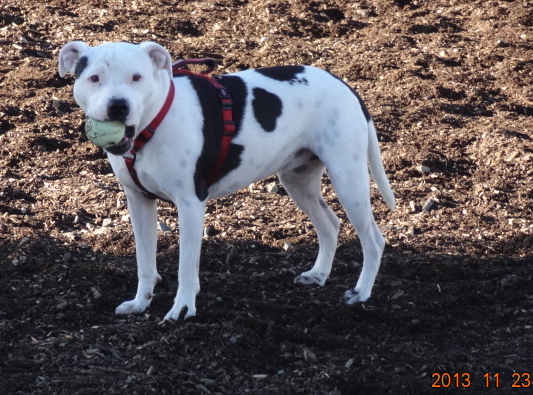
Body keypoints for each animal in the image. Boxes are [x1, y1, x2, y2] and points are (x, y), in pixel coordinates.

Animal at [59, 40, 394, 320]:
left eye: (136, 78)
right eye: (94, 78)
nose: (118, 105)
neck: (152, 125)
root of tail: (344, 86)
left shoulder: (191, 206)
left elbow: (186, 268)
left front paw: (183, 309)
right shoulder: (139, 203)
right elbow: (144, 263)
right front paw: (141, 302)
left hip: (348, 178)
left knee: (373, 239)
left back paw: (361, 292)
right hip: (298, 181)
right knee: (331, 225)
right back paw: (319, 275)